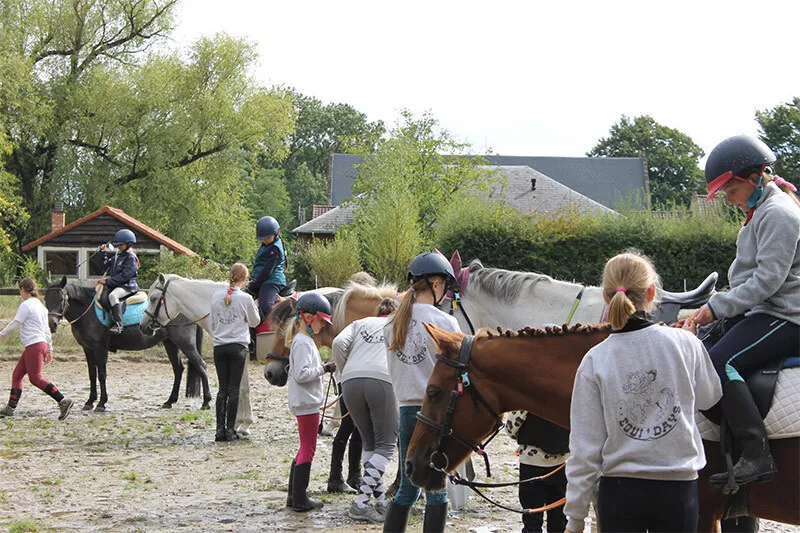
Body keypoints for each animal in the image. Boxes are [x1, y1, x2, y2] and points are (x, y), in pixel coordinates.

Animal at [45, 276, 211, 410]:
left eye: (61, 299)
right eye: (46, 299)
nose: (52, 324)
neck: (88, 311)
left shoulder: (100, 348)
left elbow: (102, 375)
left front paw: (101, 403)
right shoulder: (88, 349)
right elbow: (92, 375)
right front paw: (90, 401)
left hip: (185, 343)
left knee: (201, 366)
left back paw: (206, 402)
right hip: (170, 343)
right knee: (178, 369)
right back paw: (170, 401)